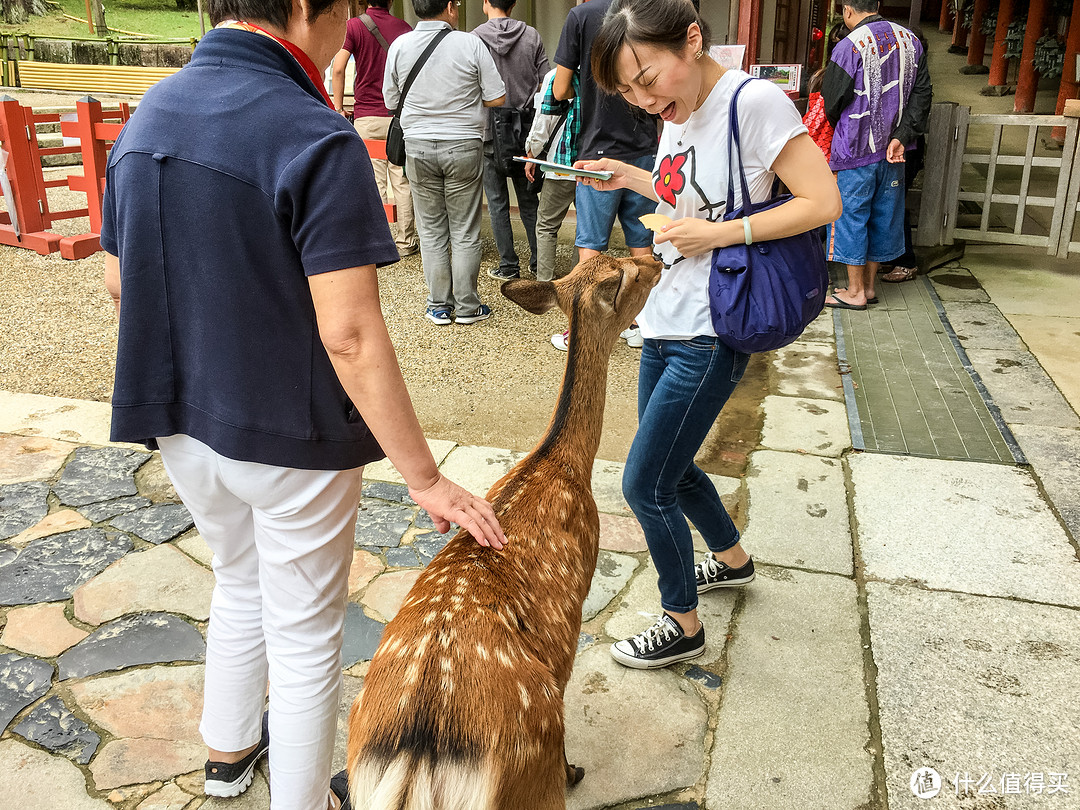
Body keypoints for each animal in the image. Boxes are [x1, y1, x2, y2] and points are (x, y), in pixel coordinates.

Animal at [349, 254, 660, 810]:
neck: (561, 463)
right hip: (530, 766)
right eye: (629, 274)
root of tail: (417, 757)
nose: (659, 258)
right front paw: (576, 769)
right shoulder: (571, 627)